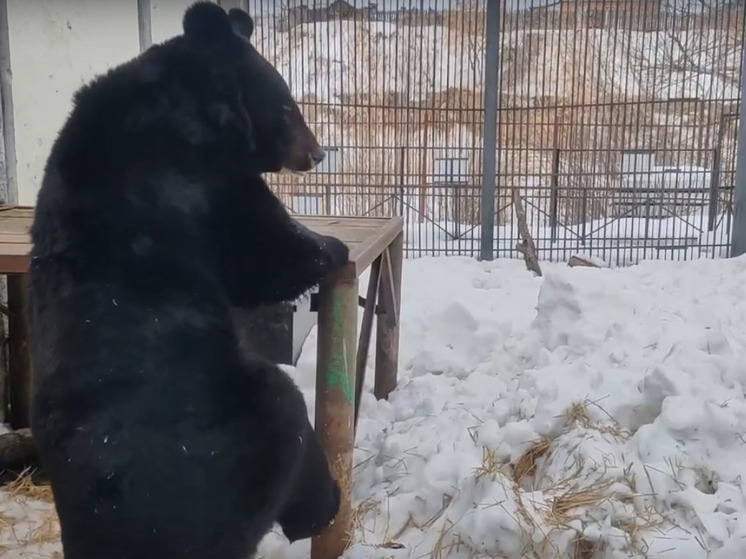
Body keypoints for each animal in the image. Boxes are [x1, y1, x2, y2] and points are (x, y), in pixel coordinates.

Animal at [27, 2, 348, 556]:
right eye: (287, 105)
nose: (317, 154)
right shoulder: (199, 175)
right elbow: (262, 248)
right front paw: (331, 246)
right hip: (245, 430)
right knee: (291, 423)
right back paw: (323, 505)